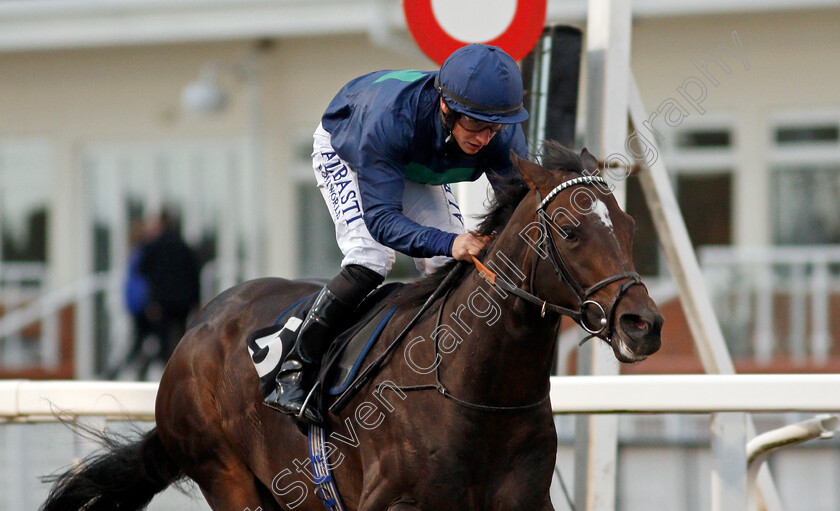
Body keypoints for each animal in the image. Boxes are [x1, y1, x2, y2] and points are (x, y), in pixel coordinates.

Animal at [44, 142, 664, 511]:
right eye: (570, 230)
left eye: (630, 224)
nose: (644, 324)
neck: (476, 389)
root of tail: (195, 333)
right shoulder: (388, 501)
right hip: (225, 473)